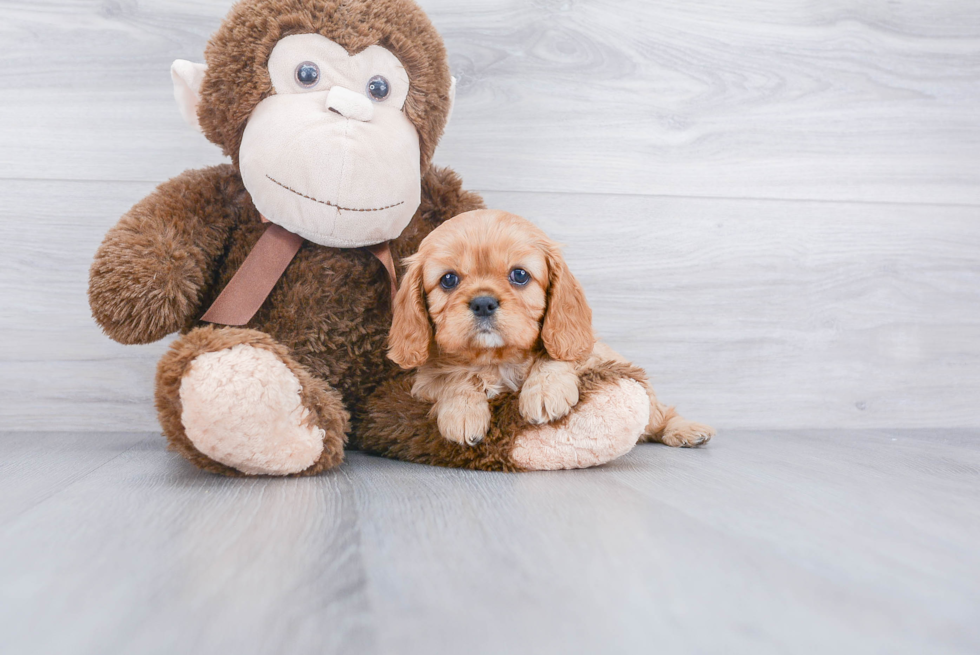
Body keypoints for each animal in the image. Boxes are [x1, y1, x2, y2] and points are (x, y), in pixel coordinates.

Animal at [386, 210, 716, 452]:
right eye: (448, 280)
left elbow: (556, 356)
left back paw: (687, 430)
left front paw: (544, 392)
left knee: (660, 416)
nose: (483, 303)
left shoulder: (586, 353)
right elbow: (456, 377)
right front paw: (463, 413)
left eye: (519, 275)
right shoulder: (425, 382)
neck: (497, 359)